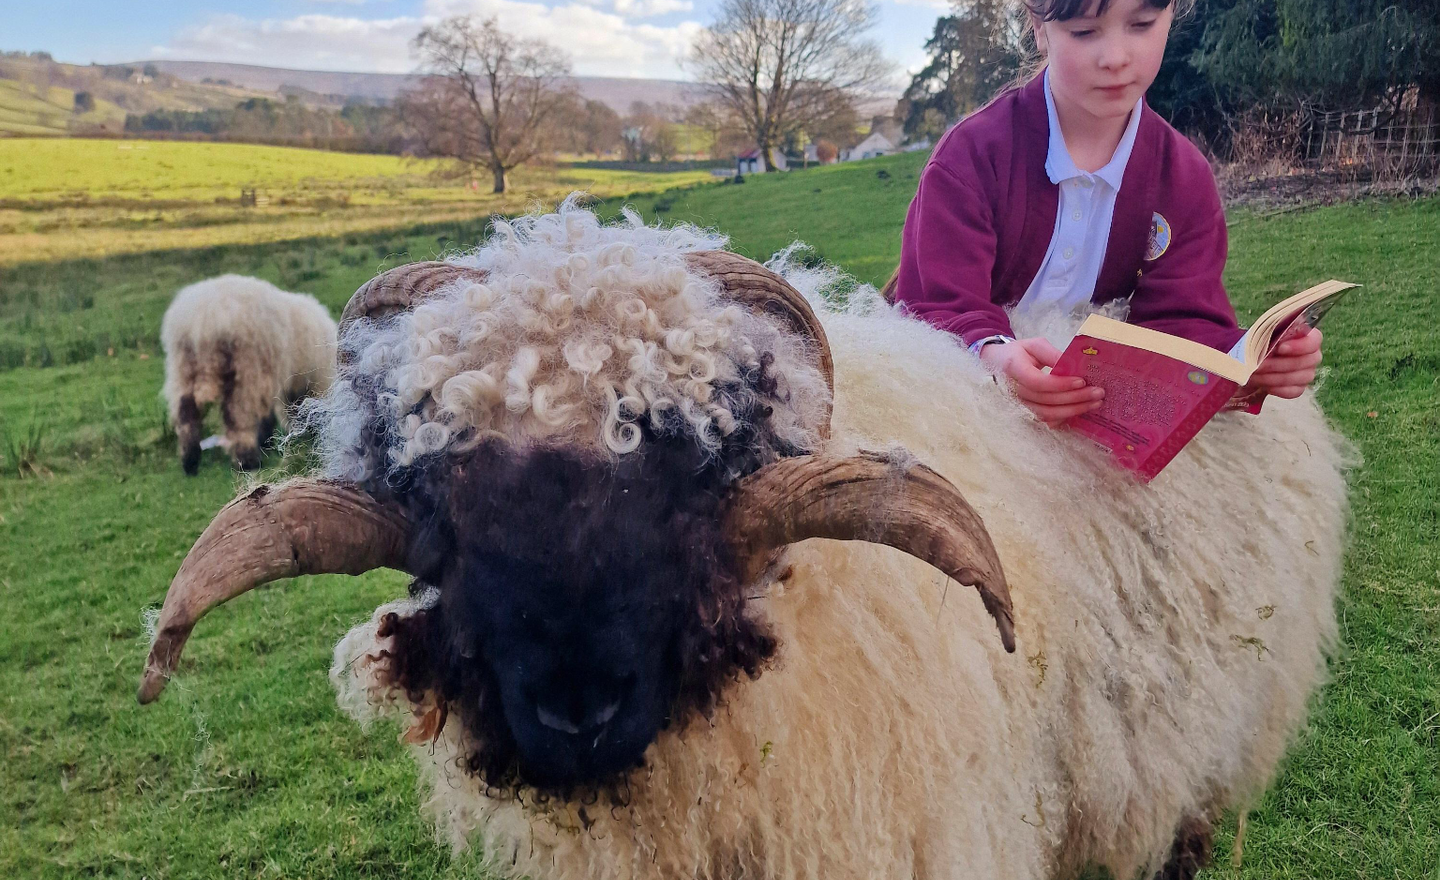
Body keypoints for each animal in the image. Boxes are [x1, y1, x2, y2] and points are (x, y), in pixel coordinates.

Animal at [159, 275, 336, 475]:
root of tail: (205, 318)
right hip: (247, 368)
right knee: (240, 415)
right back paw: (248, 461)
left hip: (182, 369)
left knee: (186, 413)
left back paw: (190, 461)